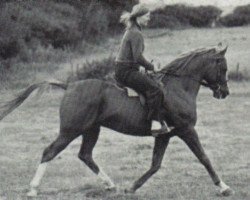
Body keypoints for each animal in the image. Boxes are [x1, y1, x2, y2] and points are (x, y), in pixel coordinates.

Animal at [0, 45, 233, 197]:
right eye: (223, 67)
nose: (224, 92)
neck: (178, 88)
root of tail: (69, 86)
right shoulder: (187, 130)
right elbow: (204, 158)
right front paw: (223, 187)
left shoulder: (165, 135)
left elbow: (155, 164)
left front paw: (132, 187)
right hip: (71, 130)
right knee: (50, 152)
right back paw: (33, 189)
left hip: (91, 129)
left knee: (85, 155)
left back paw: (110, 185)